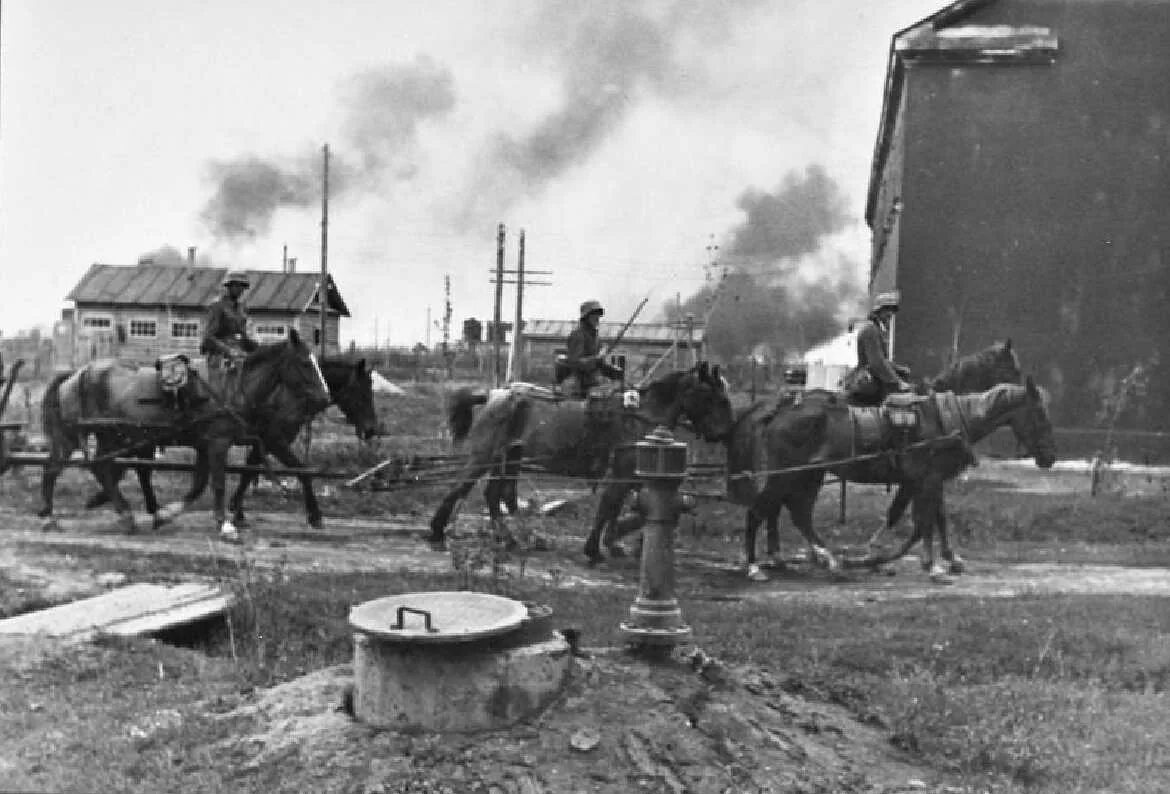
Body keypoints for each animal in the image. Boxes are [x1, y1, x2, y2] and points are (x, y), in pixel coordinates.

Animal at [39, 329, 332, 540]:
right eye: (305, 363)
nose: (325, 398)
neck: (232, 388)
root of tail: (75, 375)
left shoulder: (209, 445)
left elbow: (199, 484)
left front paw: (165, 515)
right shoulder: (221, 442)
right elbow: (218, 483)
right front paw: (225, 525)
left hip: (105, 437)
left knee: (93, 467)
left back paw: (119, 514)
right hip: (88, 436)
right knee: (65, 469)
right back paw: (53, 517)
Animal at [74, 357, 383, 530]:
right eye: (361, 391)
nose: (371, 430)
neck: (283, 393)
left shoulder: (260, 442)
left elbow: (250, 472)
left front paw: (237, 511)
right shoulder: (274, 440)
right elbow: (300, 471)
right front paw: (315, 515)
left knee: (128, 467)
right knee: (121, 466)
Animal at [425, 360, 734, 558]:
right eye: (715, 397)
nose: (725, 432)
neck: (640, 416)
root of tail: (495, 393)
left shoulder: (631, 475)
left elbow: (619, 506)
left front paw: (613, 543)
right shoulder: (621, 472)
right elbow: (609, 505)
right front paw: (594, 549)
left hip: (509, 459)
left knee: (492, 495)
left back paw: (507, 538)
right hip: (486, 455)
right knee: (461, 487)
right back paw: (438, 529)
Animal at [739, 378, 1062, 584]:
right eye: (1040, 415)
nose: (1050, 457)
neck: (947, 420)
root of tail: (779, 410)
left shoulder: (930, 480)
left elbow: (937, 517)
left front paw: (950, 559)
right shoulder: (927, 480)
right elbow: (926, 521)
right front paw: (933, 567)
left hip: (808, 476)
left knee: (797, 514)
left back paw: (826, 559)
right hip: (788, 476)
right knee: (761, 511)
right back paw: (756, 566)